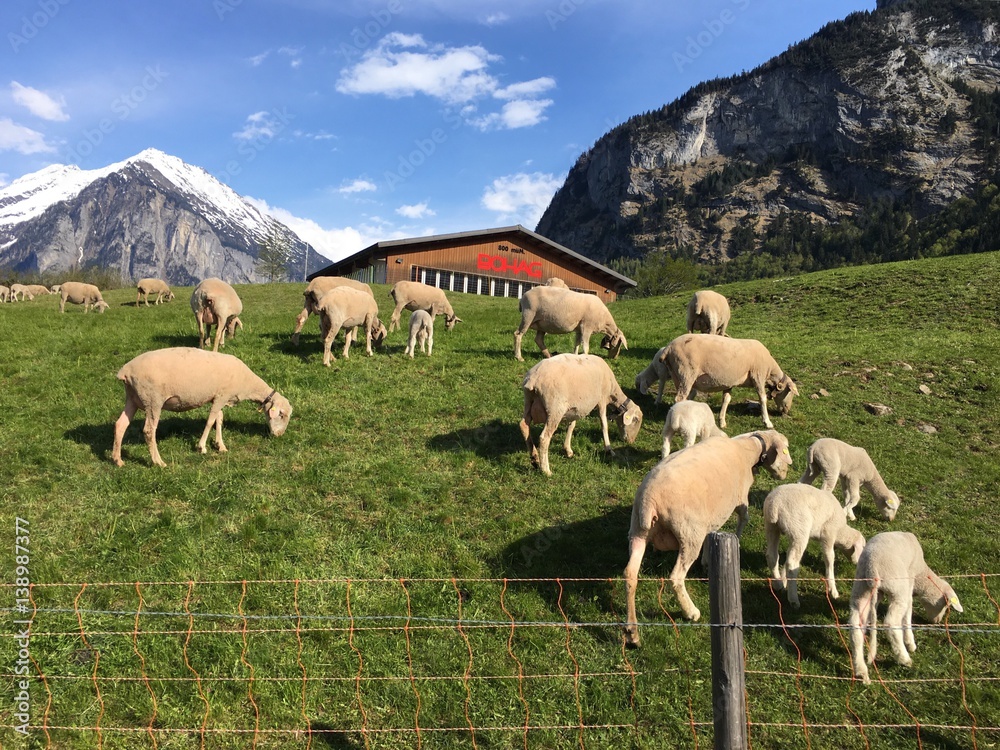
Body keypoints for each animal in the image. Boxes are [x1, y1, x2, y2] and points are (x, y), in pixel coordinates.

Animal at [111, 347, 292, 467]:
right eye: (281, 414)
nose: (279, 435)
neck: (246, 383)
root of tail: (125, 371)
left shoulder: (217, 397)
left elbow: (219, 418)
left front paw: (220, 445)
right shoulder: (222, 395)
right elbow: (211, 420)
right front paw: (202, 447)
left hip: (132, 397)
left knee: (120, 424)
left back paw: (117, 460)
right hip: (152, 400)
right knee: (149, 430)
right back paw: (158, 462)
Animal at [624, 431, 793, 644]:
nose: (785, 473)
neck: (748, 449)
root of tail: (649, 501)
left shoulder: (708, 517)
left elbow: (710, 535)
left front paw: (706, 561)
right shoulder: (738, 501)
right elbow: (743, 519)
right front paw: (734, 543)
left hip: (638, 530)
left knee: (630, 574)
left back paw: (632, 632)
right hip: (689, 533)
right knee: (676, 577)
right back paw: (691, 612)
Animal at [659, 333, 798, 429]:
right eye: (789, 392)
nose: (787, 411)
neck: (770, 372)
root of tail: (669, 347)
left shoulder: (729, 382)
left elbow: (726, 399)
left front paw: (722, 421)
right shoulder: (758, 376)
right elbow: (762, 399)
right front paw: (767, 422)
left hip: (676, 374)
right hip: (686, 373)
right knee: (679, 398)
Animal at [848, 531, 963, 684]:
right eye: (945, 605)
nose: (936, 622)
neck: (921, 573)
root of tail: (872, 569)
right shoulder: (909, 581)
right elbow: (908, 611)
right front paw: (910, 642)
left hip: (861, 590)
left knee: (856, 626)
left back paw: (861, 670)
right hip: (897, 590)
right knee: (891, 623)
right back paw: (904, 658)